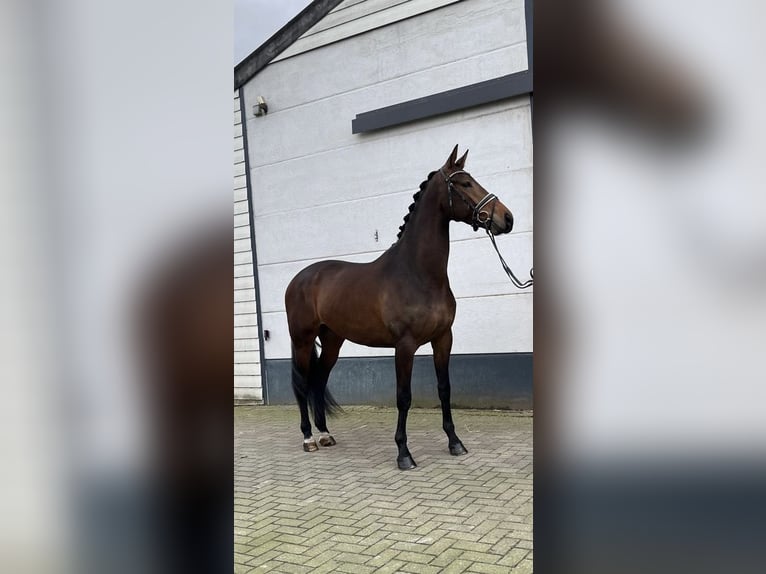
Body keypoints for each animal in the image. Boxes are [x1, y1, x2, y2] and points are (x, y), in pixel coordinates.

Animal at [284, 145, 515, 470]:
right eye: (465, 183)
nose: (507, 218)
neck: (417, 273)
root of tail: (300, 278)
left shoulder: (443, 339)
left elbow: (445, 389)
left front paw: (455, 442)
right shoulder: (404, 346)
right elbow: (403, 397)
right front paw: (404, 454)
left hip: (332, 341)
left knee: (319, 380)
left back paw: (325, 434)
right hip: (302, 340)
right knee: (303, 384)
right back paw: (308, 439)